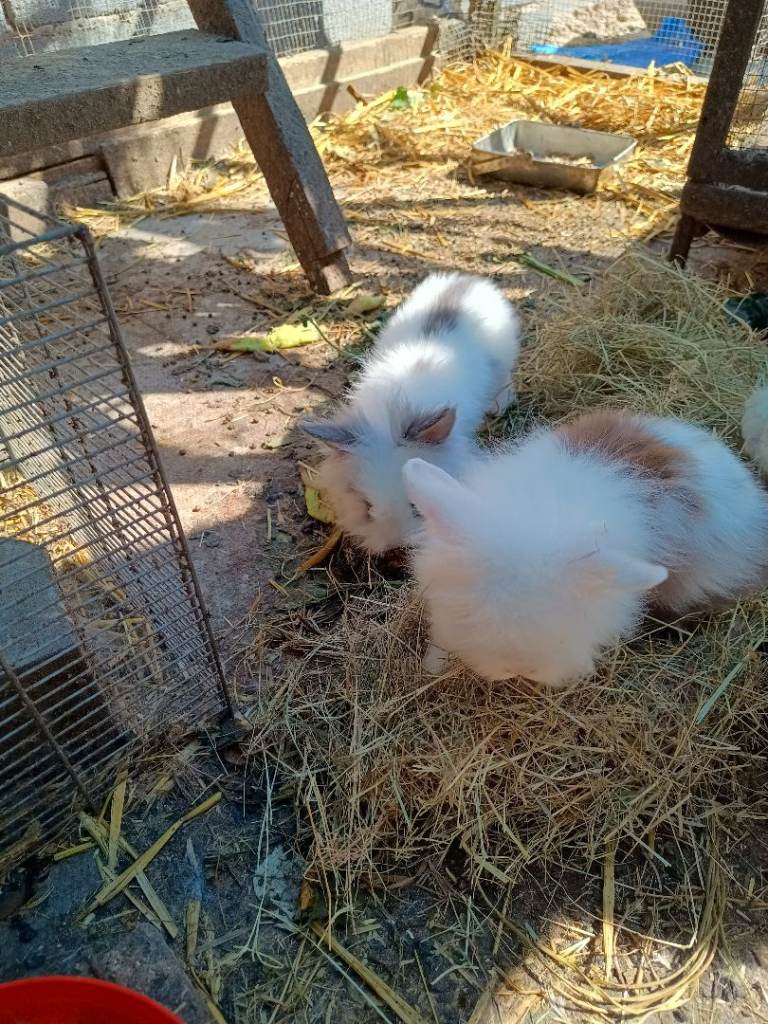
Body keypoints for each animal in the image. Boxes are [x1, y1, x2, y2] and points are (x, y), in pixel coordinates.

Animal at [301, 272, 521, 554]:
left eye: (415, 507)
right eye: (367, 507)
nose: (395, 544)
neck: (390, 410)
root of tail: (466, 280)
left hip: (504, 358)